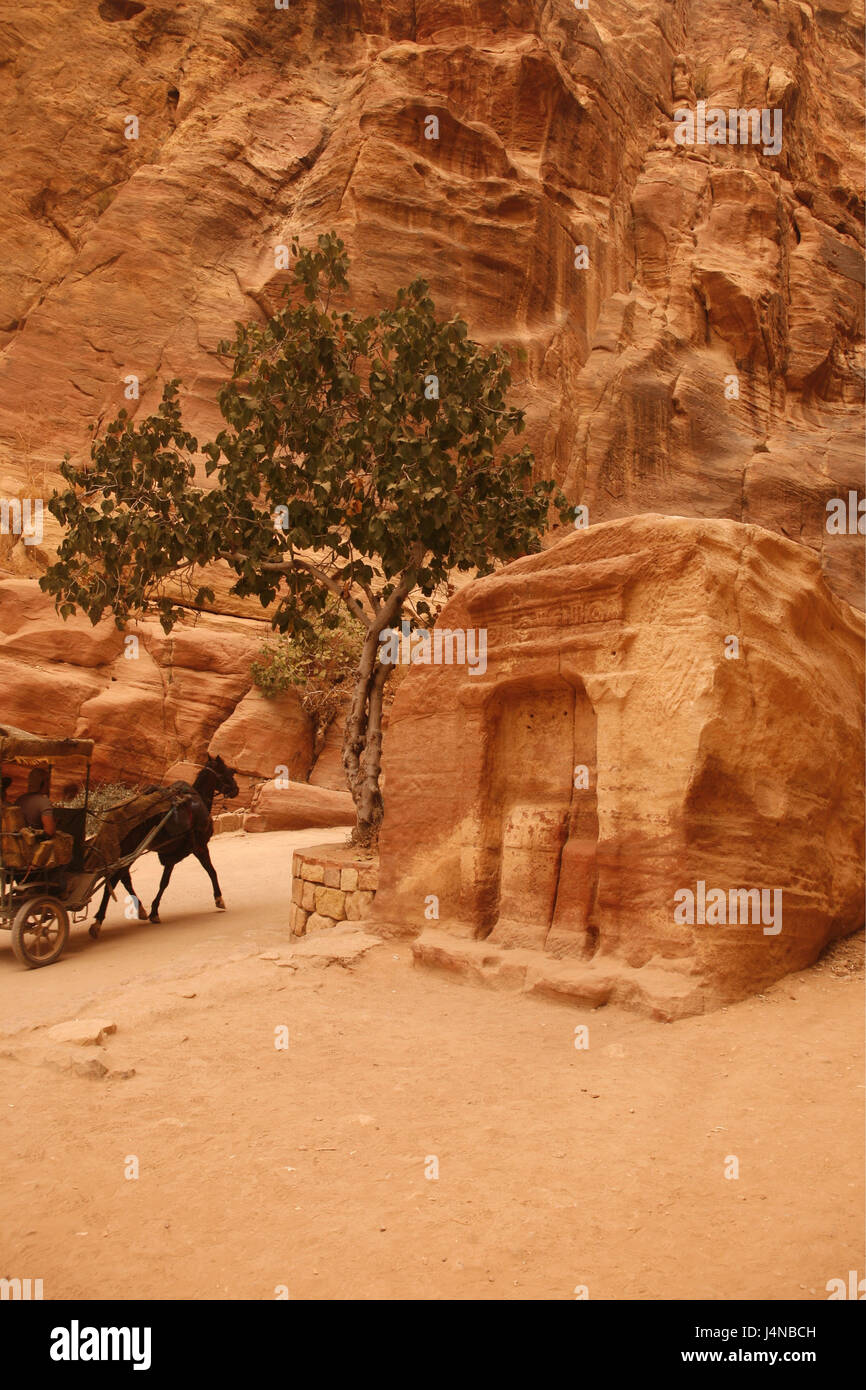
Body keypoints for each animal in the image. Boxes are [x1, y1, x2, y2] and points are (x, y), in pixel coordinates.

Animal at [88, 756, 240, 939]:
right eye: (227, 771)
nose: (236, 789)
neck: (197, 800)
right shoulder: (199, 847)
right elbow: (210, 871)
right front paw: (219, 899)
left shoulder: (171, 854)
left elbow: (164, 882)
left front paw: (153, 911)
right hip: (129, 850)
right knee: (114, 880)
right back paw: (98, 921)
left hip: (129, 853)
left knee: (124, 878)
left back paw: (140, 910)